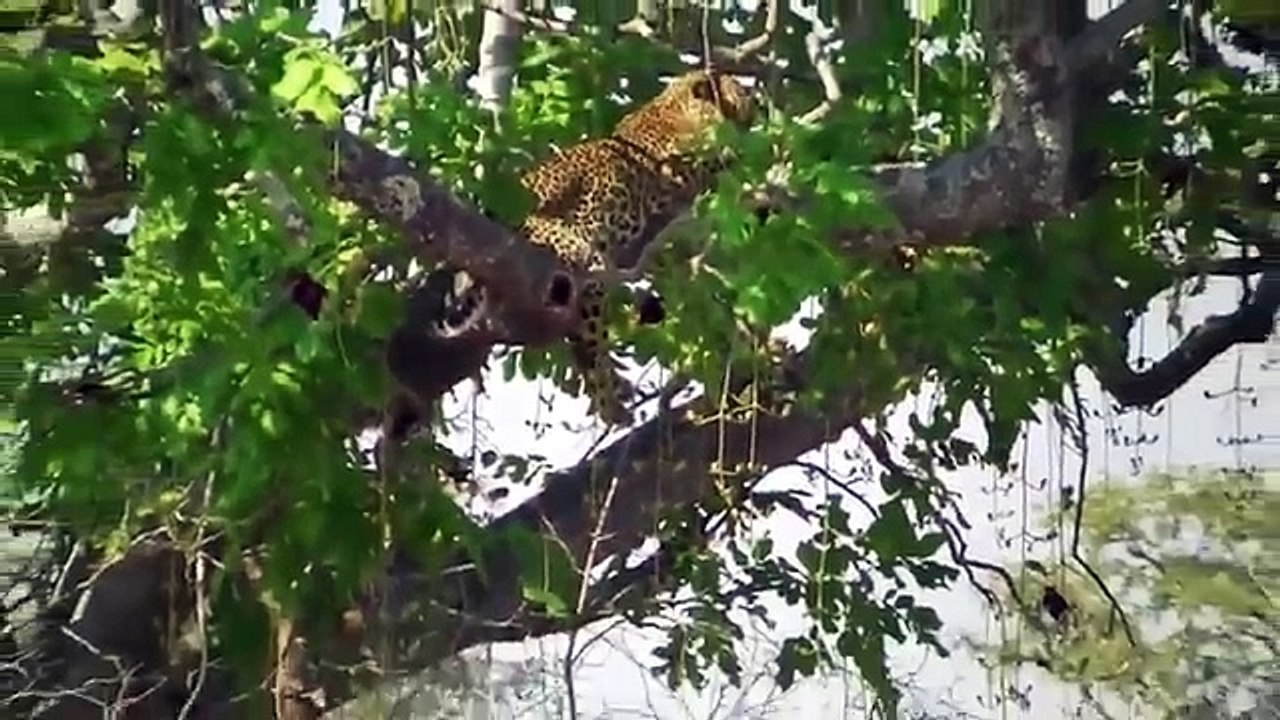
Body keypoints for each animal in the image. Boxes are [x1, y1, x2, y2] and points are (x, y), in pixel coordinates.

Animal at [515, 68, 756, 426]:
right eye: (737, 87)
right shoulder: (681, 169)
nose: (757, 96)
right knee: (590, 343)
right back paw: (610, 404)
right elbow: (716, 160)